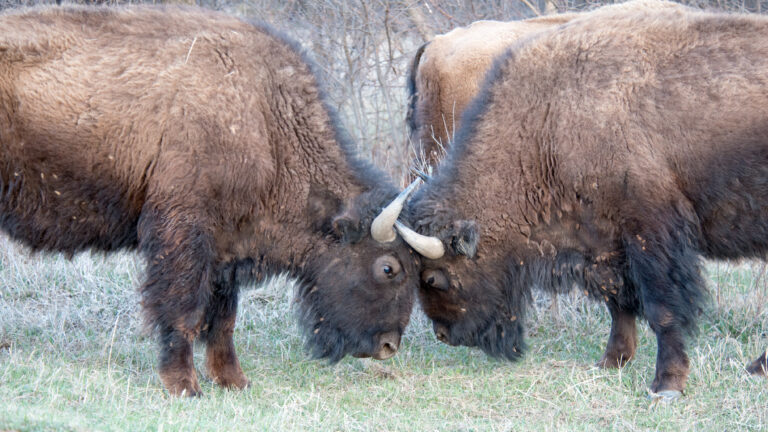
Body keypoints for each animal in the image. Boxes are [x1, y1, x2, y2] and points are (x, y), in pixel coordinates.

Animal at [0, 5, 423, 396]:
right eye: (388, 268)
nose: (388, 346)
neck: (264, 120)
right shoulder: (184, 234)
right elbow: (183, 310)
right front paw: (184, 385)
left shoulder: (226, 249)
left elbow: (223, 319)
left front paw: (233, 380)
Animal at [404, 3, 768, 399]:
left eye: (434, 277)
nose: (445, 334)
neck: (551, 120)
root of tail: (433, 47)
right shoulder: (604, 237)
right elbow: (618, 300)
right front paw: (612, 361)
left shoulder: (651, 234)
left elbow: (661, 308)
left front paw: (666, 384)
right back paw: (757, 367)